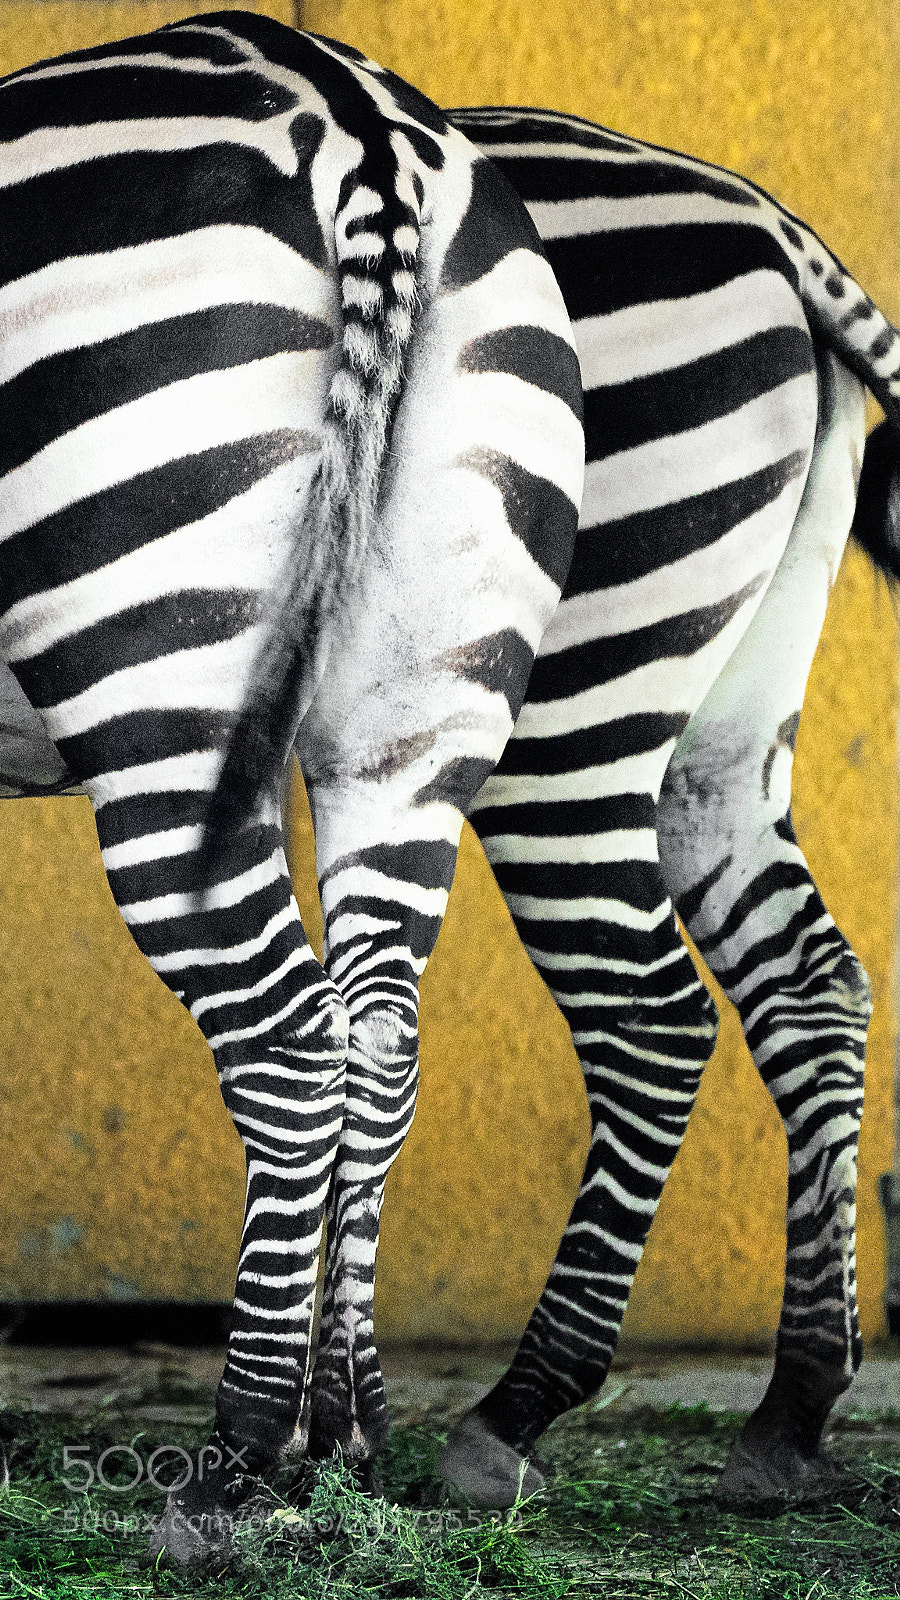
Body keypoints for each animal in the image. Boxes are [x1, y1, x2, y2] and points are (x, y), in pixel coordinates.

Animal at [0, 18, 583, 1559]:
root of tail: (352, 111)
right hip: (420, 710)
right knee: (377, 1050)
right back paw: (350, 1440)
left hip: (156, 670)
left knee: (287, 1050)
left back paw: (237, 1464)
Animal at [431, 104, 900, 1509]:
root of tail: (770, 221)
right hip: (722, 724)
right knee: (810, 982)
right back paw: (793, 1405)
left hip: (567, 685)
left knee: (651, 1017)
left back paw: (516, 1409)